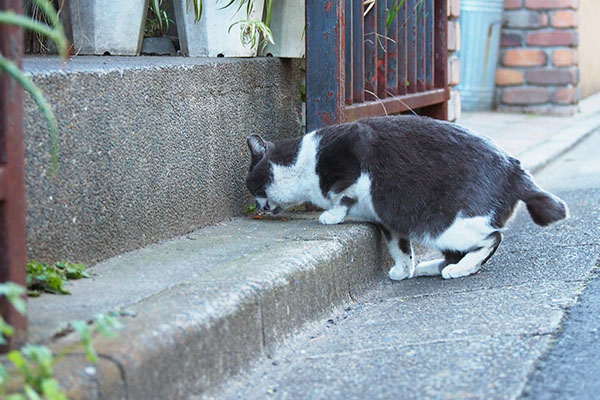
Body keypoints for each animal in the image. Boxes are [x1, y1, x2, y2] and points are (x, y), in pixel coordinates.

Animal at [245, 114, 568, 280]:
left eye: (252, 184)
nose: (257, 206)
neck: (302, 163)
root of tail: (516, 170)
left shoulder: (352, 148)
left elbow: (342, 190)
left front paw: (332, 214)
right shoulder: (388, 220)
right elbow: (399, 247)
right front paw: (403, 269)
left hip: (448, 225)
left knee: (492, 239)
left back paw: (461, 270)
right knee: (457, 250)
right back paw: (430, 268)